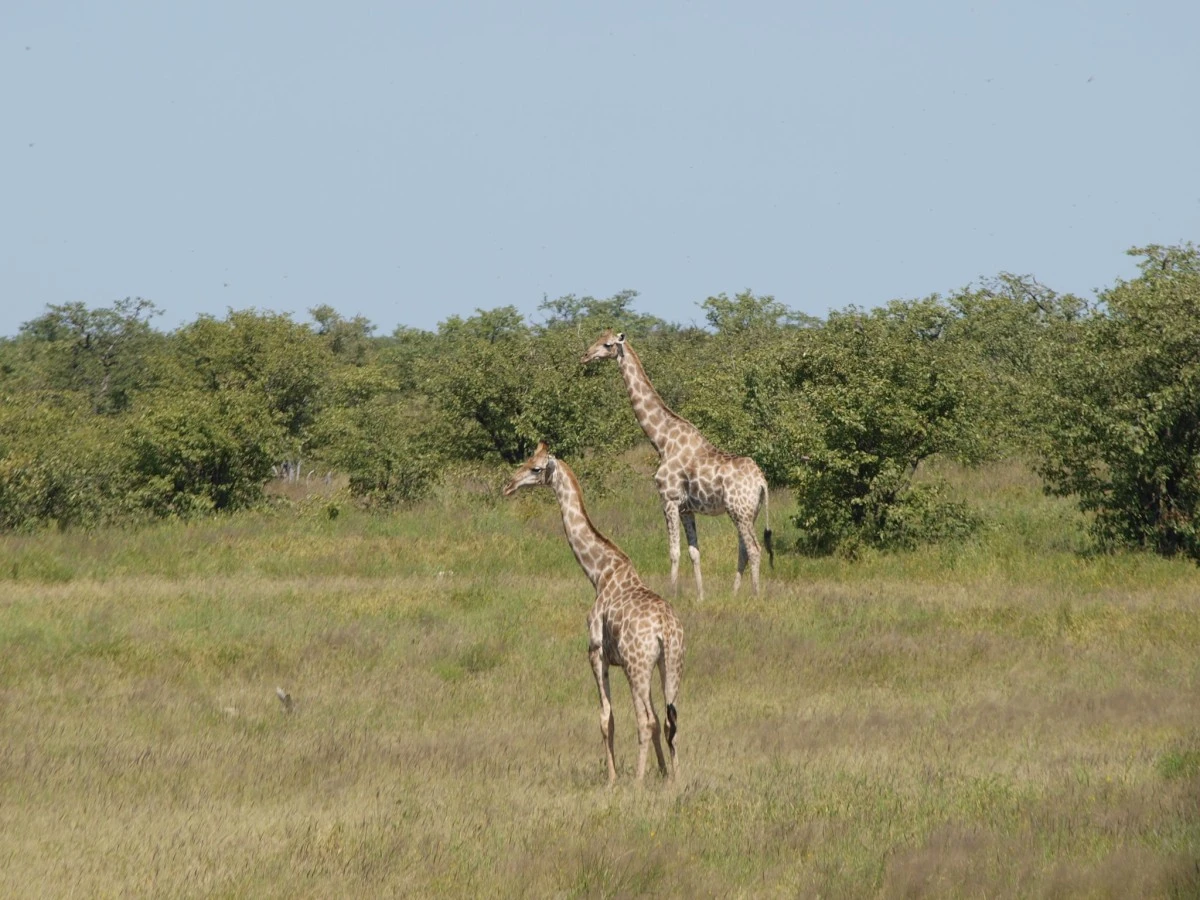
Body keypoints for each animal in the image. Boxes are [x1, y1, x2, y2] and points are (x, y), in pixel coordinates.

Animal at [499, 448, 686, 787]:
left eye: (535, 469)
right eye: (526, 460)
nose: (508, 485)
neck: (599, 573)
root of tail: (665, 629)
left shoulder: (596, 653)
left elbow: (606, 718)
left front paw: (611, 780)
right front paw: (664, 772)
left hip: (638, 666)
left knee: (646, 719)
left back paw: (636, 782)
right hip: (671, 663)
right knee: (669, 719)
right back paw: (675, 780)